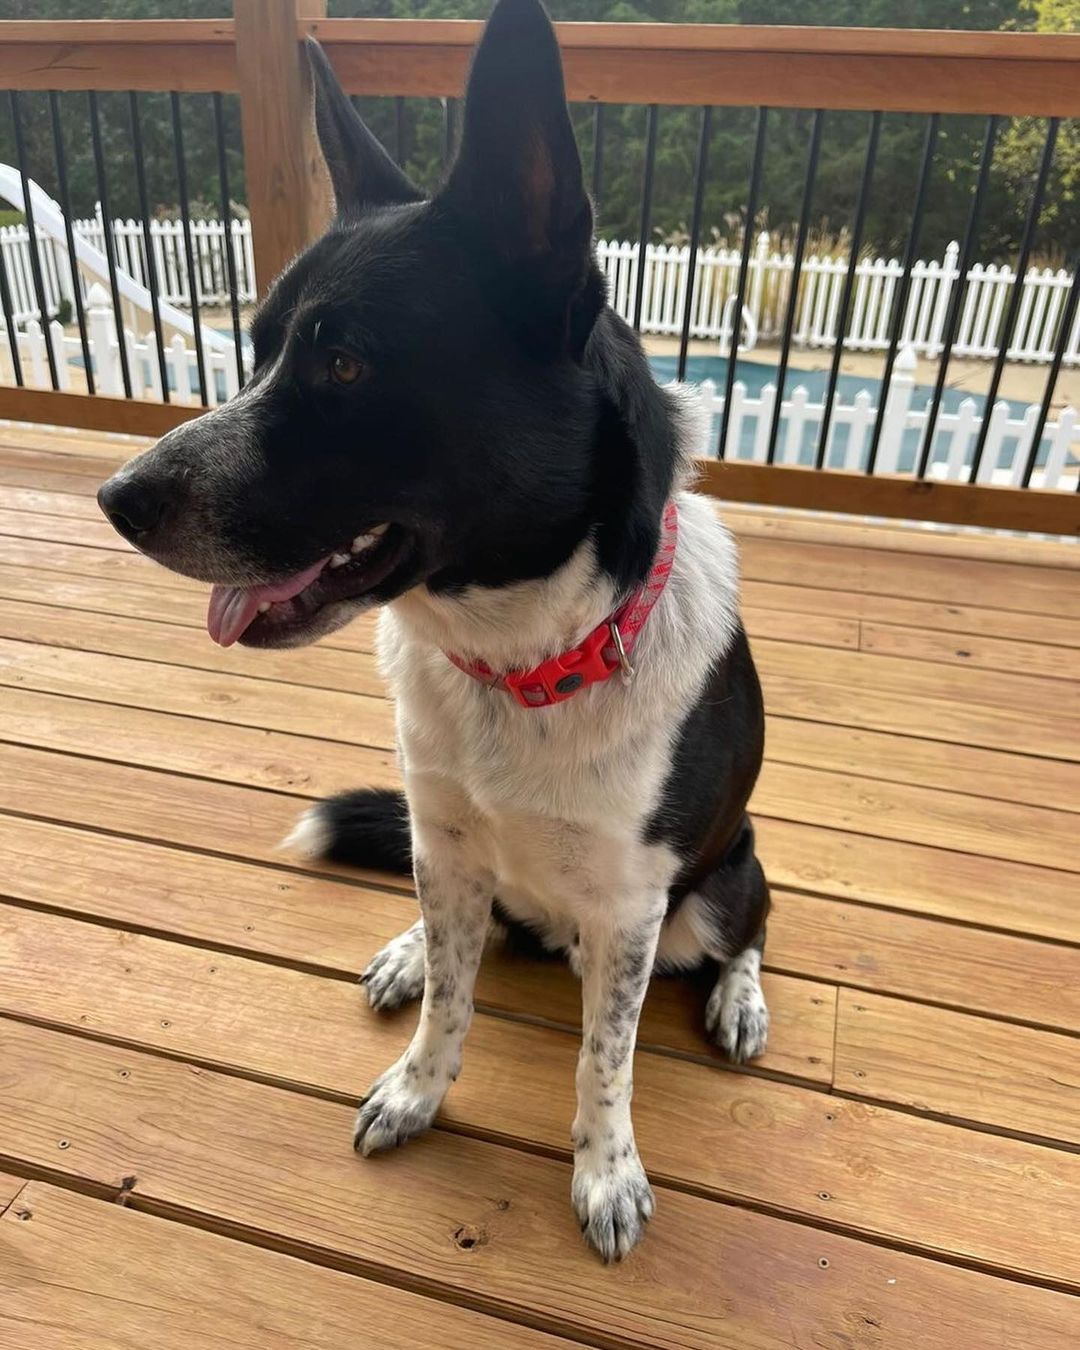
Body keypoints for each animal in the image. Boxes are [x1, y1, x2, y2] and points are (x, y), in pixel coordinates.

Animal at [95, 0, 766, 1263]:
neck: (518, 660)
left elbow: (606, 1060)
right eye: (258, 351)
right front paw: (418, 1085)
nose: (115, 498)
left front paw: (605, 1171)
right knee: (466, 932)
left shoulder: (630, 910)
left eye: (346, 362)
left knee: (750, 924)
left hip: (718, 880)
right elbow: (454, 997)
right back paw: (412, 952)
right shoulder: (447, 839)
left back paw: (741, 997)